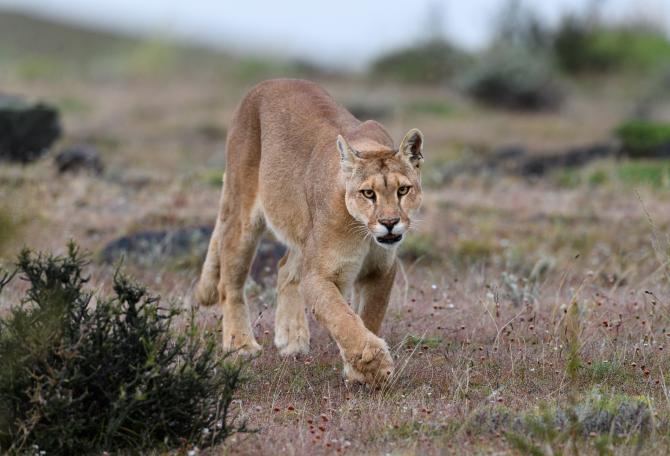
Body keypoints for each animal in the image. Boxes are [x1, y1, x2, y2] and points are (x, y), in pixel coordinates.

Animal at [196, 79, 424, 385]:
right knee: (229, 281)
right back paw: (241, 344)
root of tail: (267, 82)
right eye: (368, 193)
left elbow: (368, 316)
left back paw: (291, 339)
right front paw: (374, 364)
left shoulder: (381, 270)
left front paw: (358, 371)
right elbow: (342, 317)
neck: (364, 234)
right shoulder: (319, 274)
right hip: (243, 213)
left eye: (403, 190)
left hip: (303, 234)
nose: (389, 222)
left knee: (283, 268)